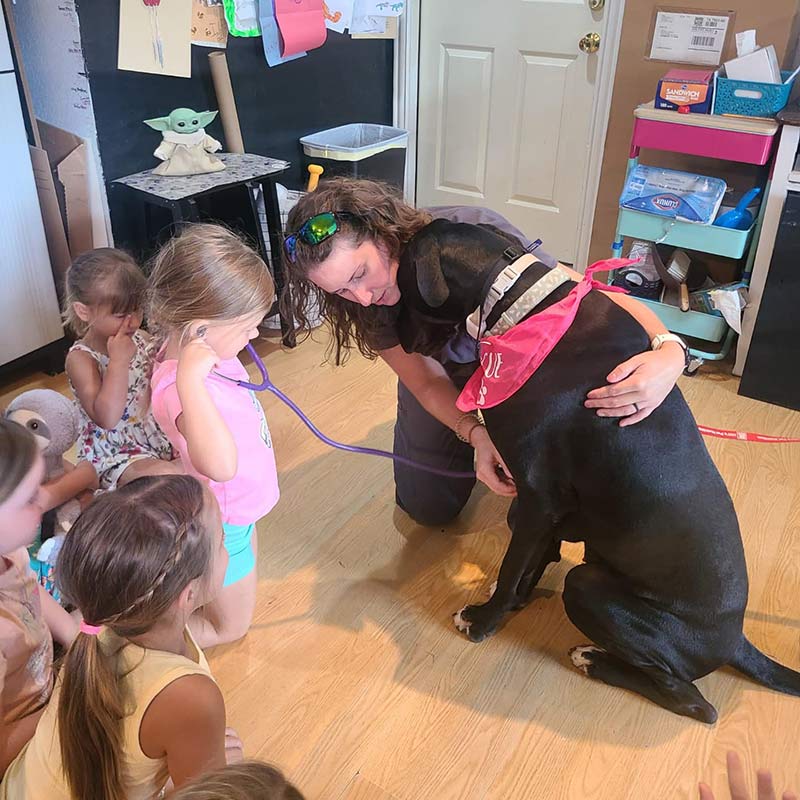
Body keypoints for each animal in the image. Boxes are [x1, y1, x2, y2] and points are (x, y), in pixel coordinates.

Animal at [396, 216, 800, 720]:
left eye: (400, 275)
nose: (394, 337)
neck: (518, 301)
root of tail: (735, 640)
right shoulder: (545, 506)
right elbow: (531, 562)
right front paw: (516, 604)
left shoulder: (537, 496)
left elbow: (511, 569)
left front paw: (486, 619)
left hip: (588, 586)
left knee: (692, 701)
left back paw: (593, 659)